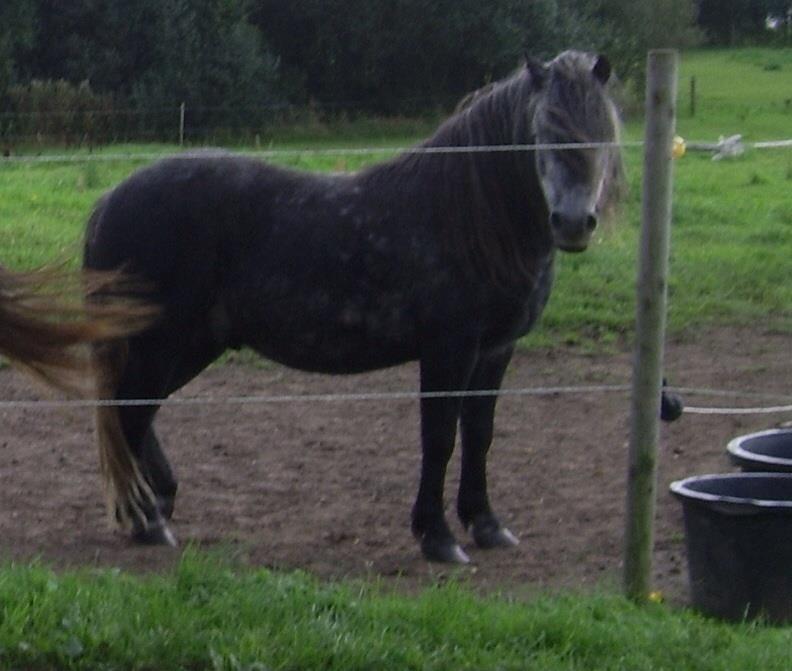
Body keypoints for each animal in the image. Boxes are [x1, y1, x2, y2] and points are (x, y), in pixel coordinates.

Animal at [85, 51, 624, 560]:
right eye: (544, 127)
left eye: (602, 127)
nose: (573, 222)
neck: (468, 218)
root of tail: (110, 199)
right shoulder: (448, 350)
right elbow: (439, 437)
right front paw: (437, 537)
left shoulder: (495, 351)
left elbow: (479, 434)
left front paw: (486, 525)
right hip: (159, 344)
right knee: (129, 415)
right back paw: (146, 522)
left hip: (192, 345)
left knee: (138, 415)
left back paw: (157, 504)